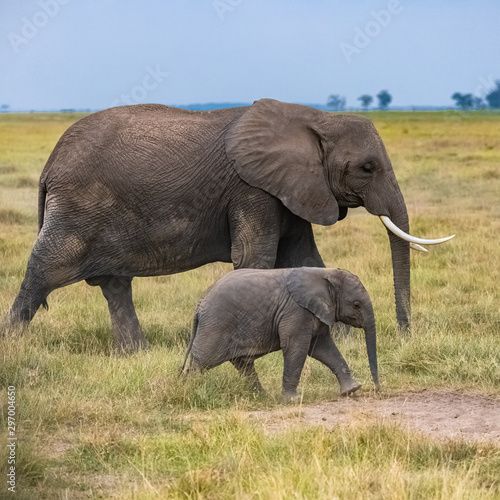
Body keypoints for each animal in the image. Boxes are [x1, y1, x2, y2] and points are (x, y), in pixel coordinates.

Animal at [5, 96, 454, 348]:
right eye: (366, 168)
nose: (405, 336)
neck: (315, 119)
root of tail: (49, 165)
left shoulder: (290, 189)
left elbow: (304, 258)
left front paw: (339, 338)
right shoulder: (253, 190)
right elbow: (256, 259)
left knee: (115, 285)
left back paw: (137, 354)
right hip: (78, 208)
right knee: (44, 270)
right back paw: (13, 346)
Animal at [182, 268, 380, 400]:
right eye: (356, 305)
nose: (378, 390)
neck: (325, 273)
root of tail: (200, 304)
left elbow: (323, 348)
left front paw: (352, 389)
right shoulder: (296, 311)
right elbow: (297, 348)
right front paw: (293, 400)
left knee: (243, 364)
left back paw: (263, 396)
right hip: (216, 325)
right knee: (201, 362)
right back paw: (189, 390)